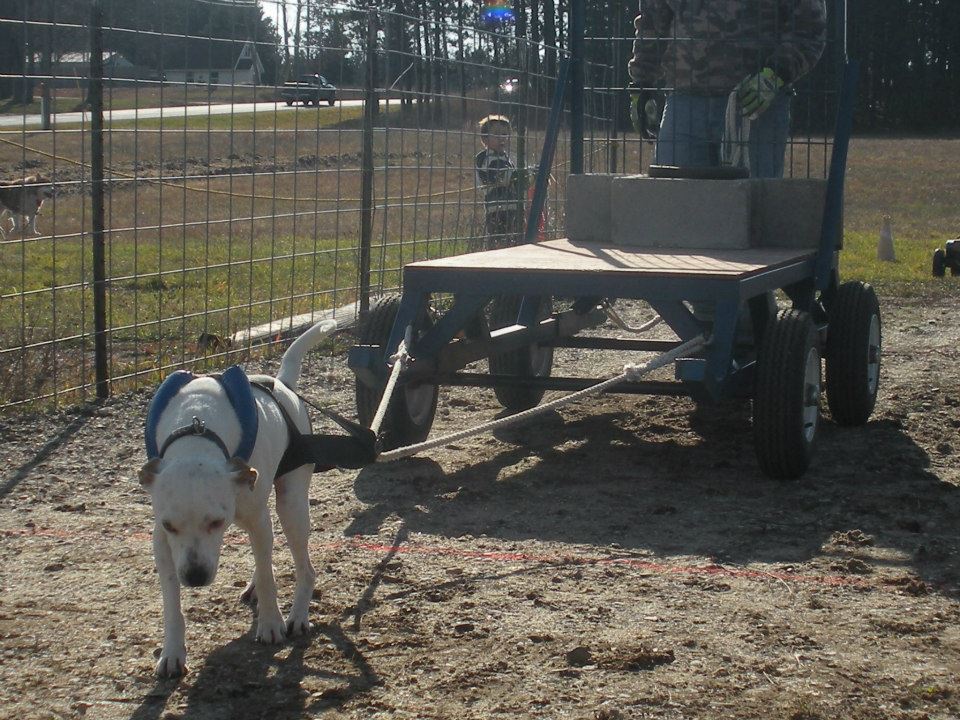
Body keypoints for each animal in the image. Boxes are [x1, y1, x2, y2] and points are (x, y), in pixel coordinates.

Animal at [139, 318, 376, 676]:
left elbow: (268, 576)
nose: (194, 577)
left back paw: (297, 615)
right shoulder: (161, 540)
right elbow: (171, 600)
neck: (198, 430)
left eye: (216, 522)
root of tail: (283, 384)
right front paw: (172, 651)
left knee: (303, 567)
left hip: (290, 506)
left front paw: (271, 623)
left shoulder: (256, 517)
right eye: (170, 526)